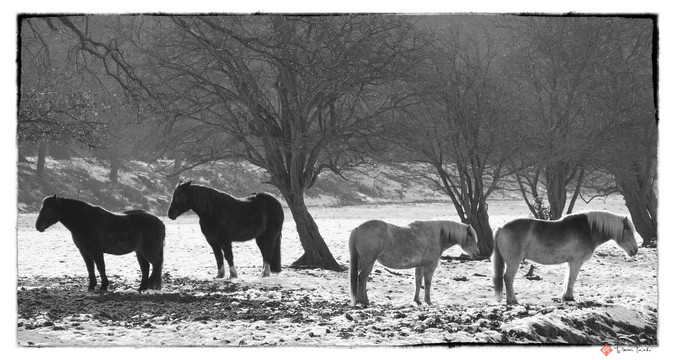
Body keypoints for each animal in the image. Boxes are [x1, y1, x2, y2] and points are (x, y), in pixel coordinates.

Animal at [35, 194, 165, 292]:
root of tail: (159, 221)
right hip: (140, 251)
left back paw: (150, 284)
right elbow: (90, 268)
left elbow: (100, 267)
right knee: (146, 267)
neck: (84, 221)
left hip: (148, 250)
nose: (38, 226)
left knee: (156, 264)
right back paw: (142, 287)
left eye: (47, 209)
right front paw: (91, 287)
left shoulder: (96, 251)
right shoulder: (84, 251)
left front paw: (103, 286)